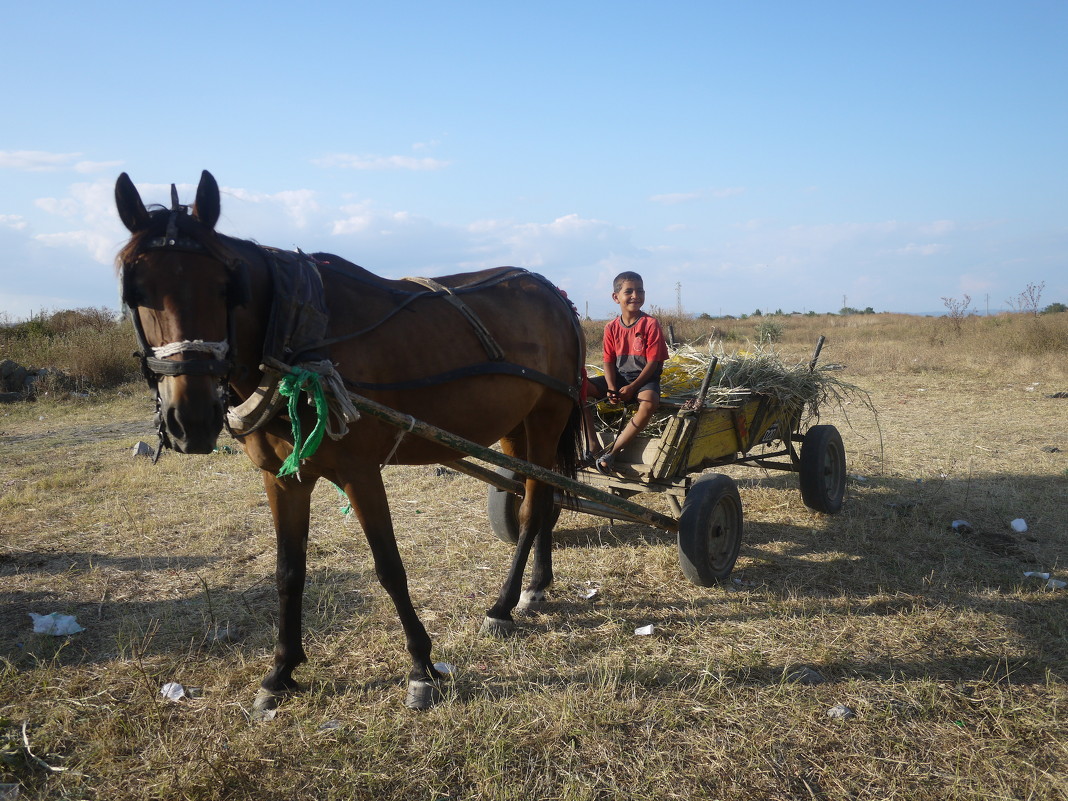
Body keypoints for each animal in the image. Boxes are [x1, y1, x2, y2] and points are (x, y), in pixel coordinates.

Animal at [115, 173, 585, 713]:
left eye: (225, 289)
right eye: (135, 291)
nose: (190, 420)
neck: (296, 340)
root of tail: (555, 295)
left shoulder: (361, 472)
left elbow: (389, 567)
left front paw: (422, 668)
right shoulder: (283, 479)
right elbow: (288, 571)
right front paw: (281, 671)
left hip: (549, 415)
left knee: (535, 505)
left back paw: (504, 604)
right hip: (515, 425)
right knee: (543, 495)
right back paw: (536, 586)